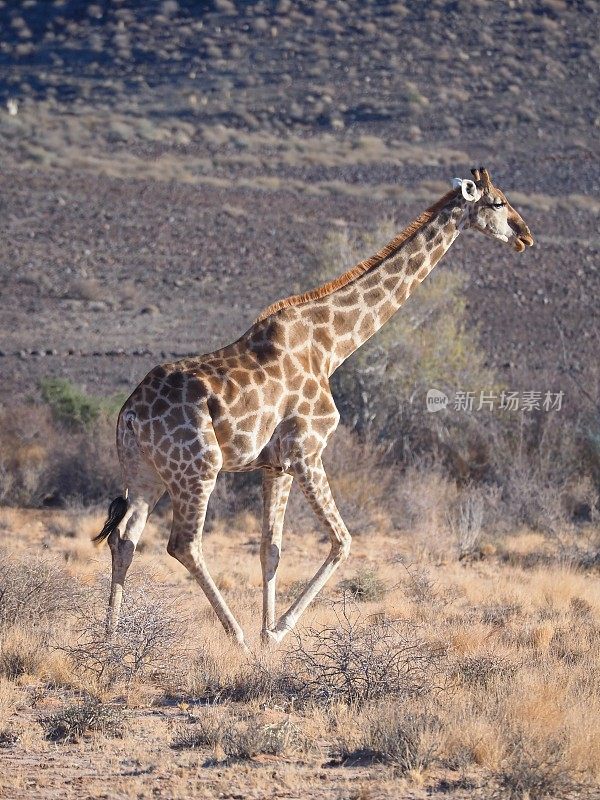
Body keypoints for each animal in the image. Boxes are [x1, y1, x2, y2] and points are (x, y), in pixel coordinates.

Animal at [95, 166, 536, 648]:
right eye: (497, 202)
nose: (525, 236)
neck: (331, 346)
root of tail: (128, 414)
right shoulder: (306, 452)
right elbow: (342, 541)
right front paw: (276, 632)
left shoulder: (275, 465)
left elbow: (270, 549)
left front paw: (268, 636)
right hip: (198, 467)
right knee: (182, 543)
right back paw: (235, 636)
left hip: (147, 474)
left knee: (125, 539)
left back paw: (110, 640)